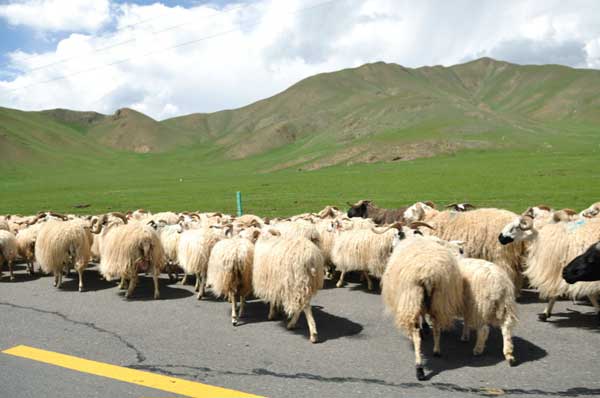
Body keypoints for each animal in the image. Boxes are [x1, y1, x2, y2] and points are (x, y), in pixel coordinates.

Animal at [382, 236, 462, 380]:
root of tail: (428, 274)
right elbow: (425, 316)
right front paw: (425, 327)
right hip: (439, 300)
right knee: (436, 326)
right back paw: (436, 350)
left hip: (412, 297)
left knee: (416, 335)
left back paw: (419, 368)